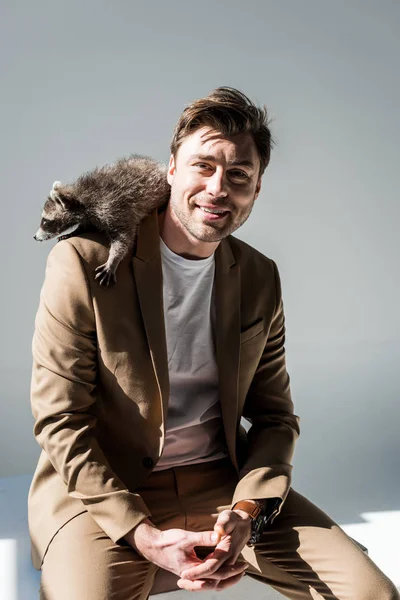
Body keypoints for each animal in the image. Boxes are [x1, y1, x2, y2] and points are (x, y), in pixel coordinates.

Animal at [34, 155, 170, 286]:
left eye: (45, 221)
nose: (35, 237)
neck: (81, 195)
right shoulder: (92, 214)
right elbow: (86, 225)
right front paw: (74, 231)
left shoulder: (113, 209)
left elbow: (124, 237)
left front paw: (114, 259)